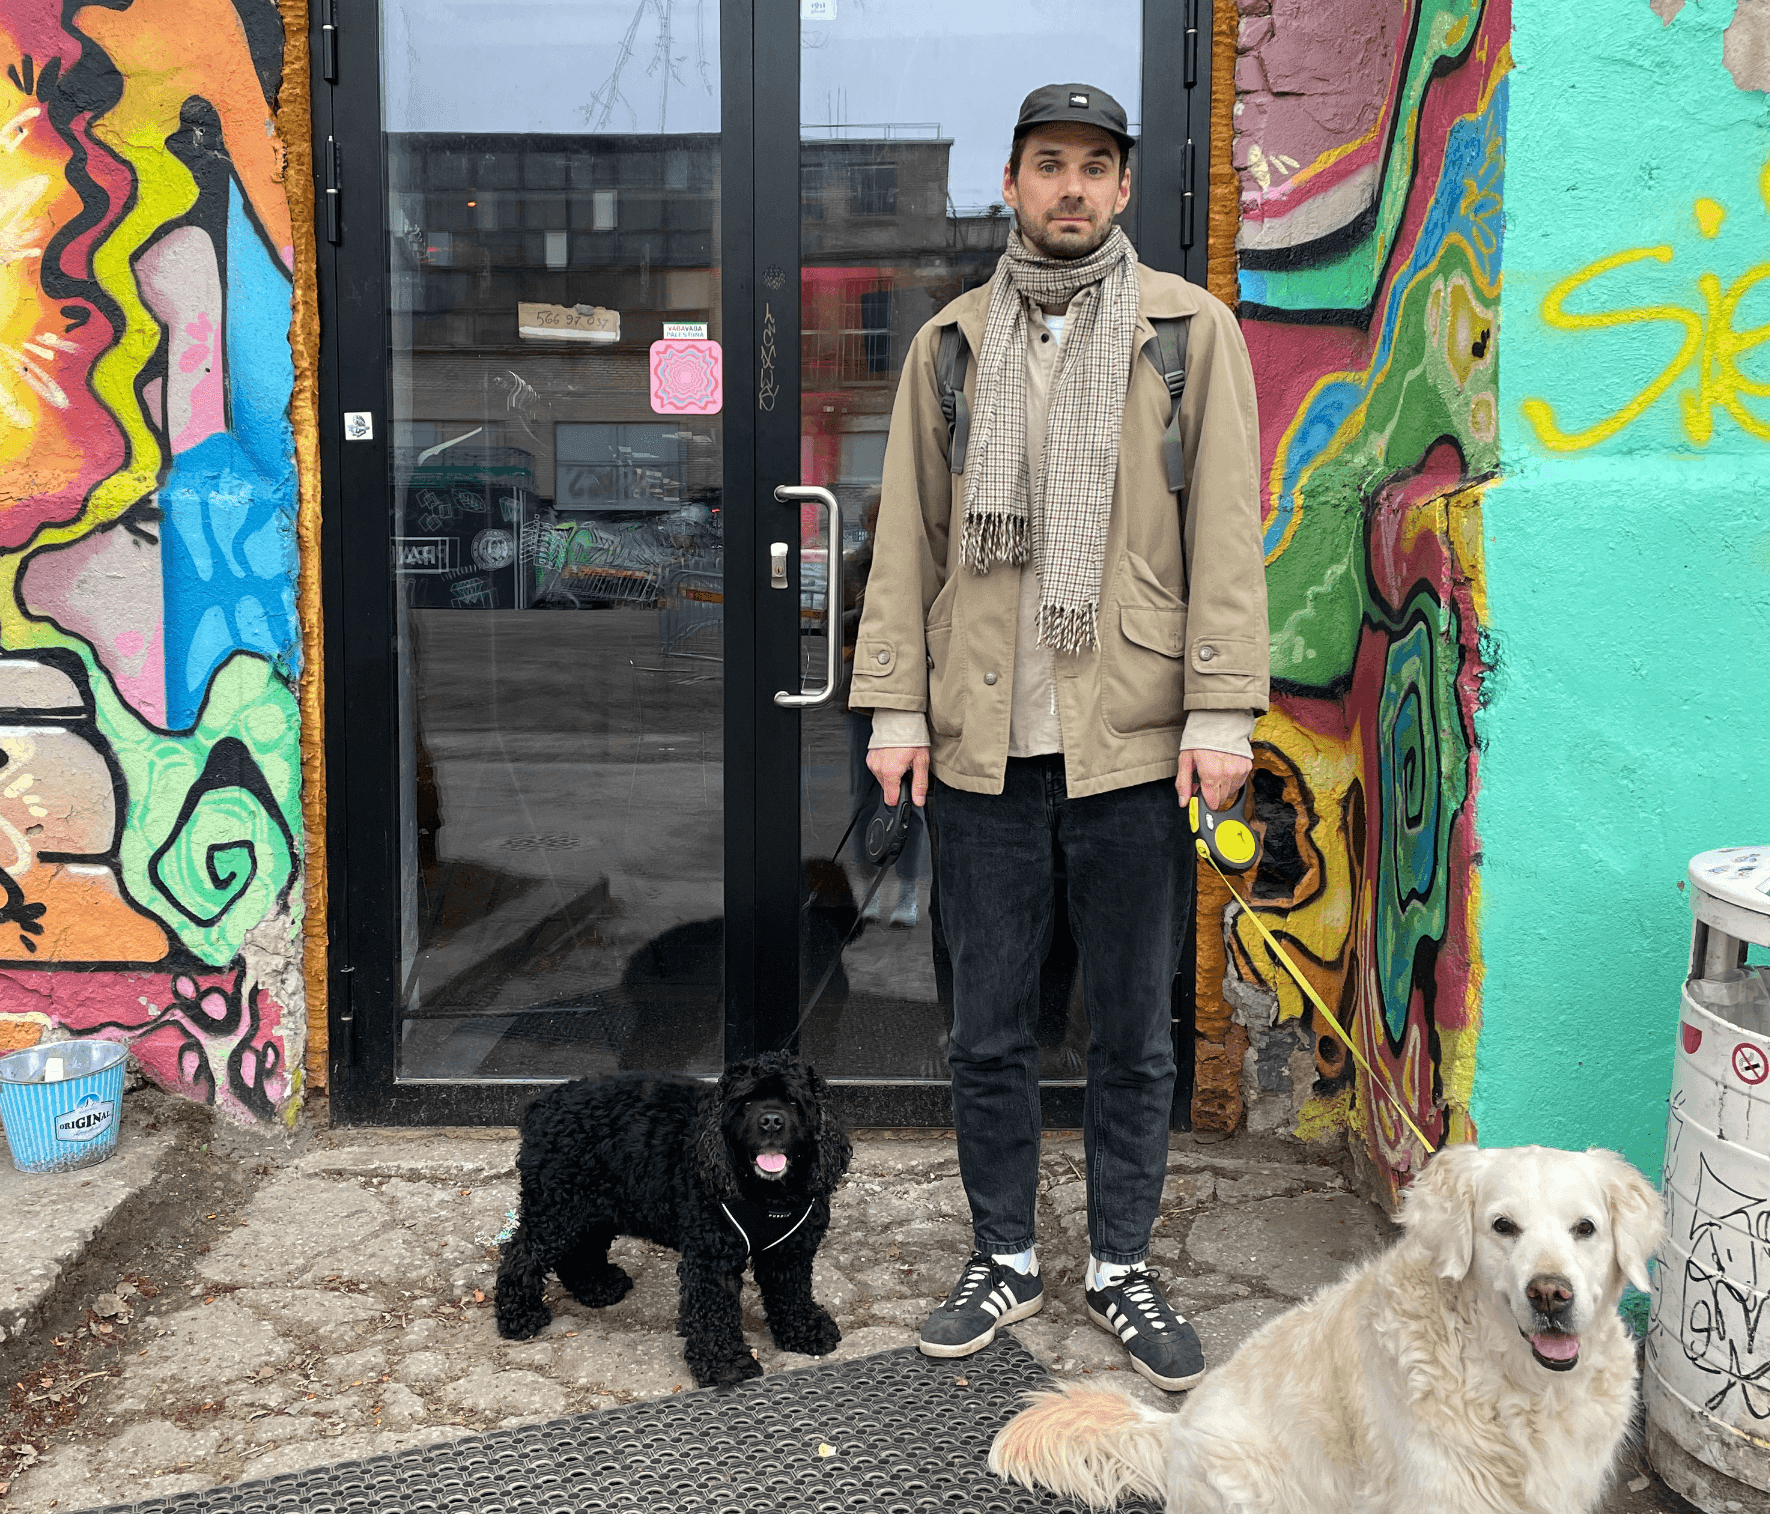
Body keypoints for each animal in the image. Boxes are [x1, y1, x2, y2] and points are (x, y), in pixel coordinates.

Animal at [494, 1052, 852, 1388]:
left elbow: (792, 1294)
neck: (768, 1195)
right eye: (747, 1102)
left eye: (793, 1101)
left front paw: (805, 1331)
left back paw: (598, 1286)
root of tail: (543, 1102)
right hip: (557, 1212)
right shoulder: (711, 1259)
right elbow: (713, 1313)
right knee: (520, 1256)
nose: (772, 1121)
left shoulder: (790, 1251)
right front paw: (726, 1364)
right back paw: (519, 1317)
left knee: (579, 1252)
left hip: (592, 1209)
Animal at [989, 1144, 1664, 1513]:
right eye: (1503, 1226)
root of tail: (1174, 1427)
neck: (1520, 1388)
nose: (1551, 1293)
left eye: (1585, 1228)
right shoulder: (1434, 1493)